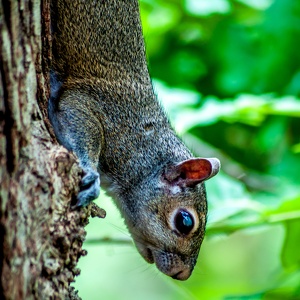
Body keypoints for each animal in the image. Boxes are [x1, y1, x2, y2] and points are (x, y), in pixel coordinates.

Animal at [48, 0, 220, 282]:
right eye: (185, 222)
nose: (183, 274)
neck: (142, 148)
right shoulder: (96, 106)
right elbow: (80, 120)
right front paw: (90, 173)